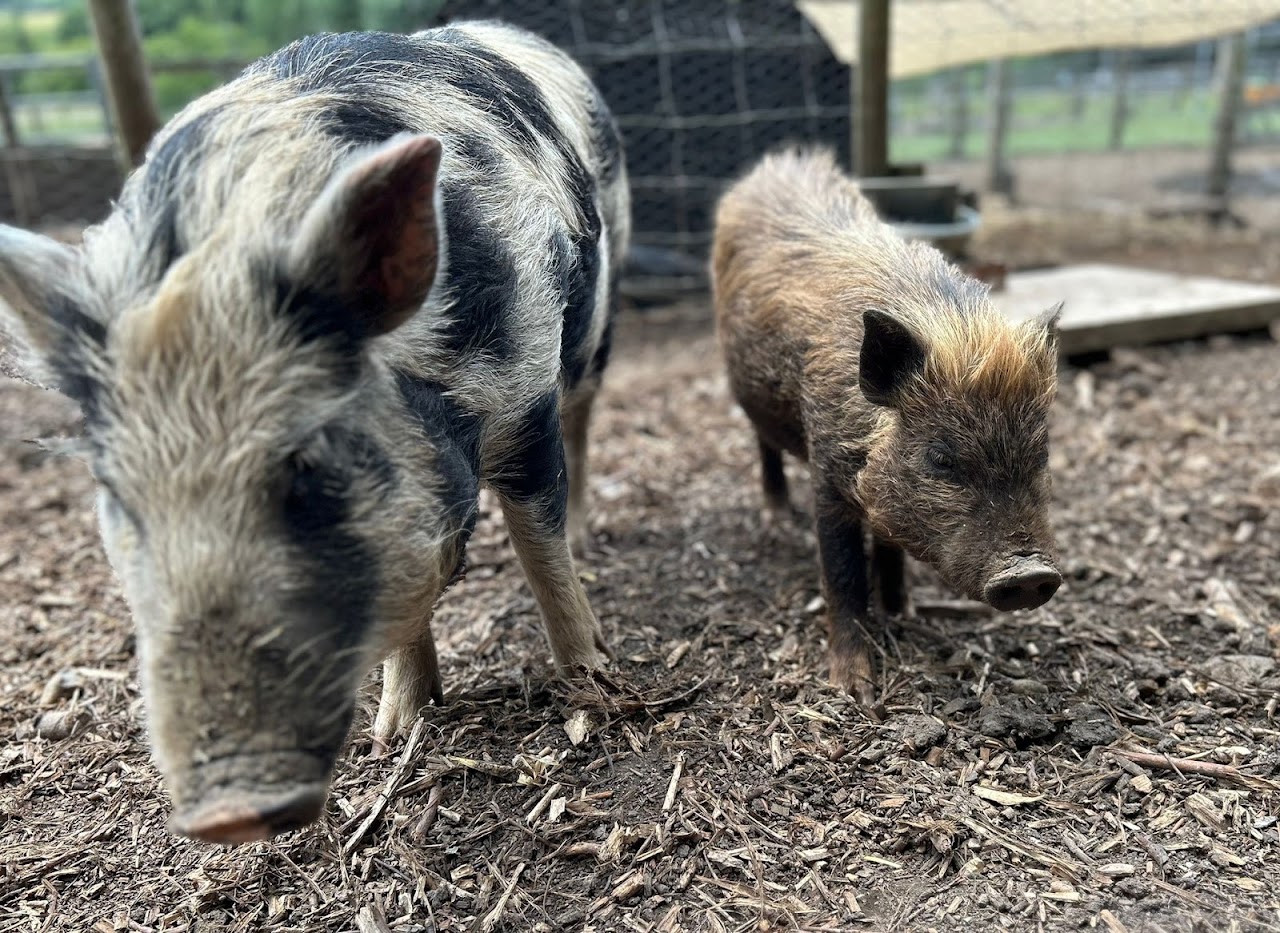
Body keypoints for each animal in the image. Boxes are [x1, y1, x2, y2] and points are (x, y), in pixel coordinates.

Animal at [0, 21, 629, 844]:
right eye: (117, 492)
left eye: (309, 463)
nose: (229, 813)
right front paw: (395, 734)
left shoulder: (524, 387)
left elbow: (540, 543)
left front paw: (596, 690)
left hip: (597, 314)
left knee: (582, 421)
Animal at [711, 148, 1061, 704]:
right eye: (940, 457)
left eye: (1042, 451)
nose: (1031, 574)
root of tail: (777, 162)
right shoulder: (827, 475)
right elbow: (844, 577)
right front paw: (854, 691)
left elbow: (892, 548)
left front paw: (905, 615)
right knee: (762, 444)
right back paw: (778, 521)